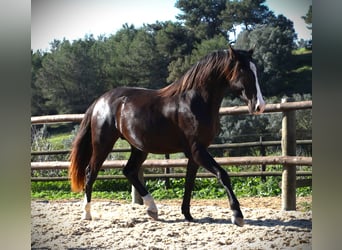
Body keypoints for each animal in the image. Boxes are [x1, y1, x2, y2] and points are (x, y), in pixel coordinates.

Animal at [69, 45, 266, 227]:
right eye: (244, 71)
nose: (260, 106)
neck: (195, 102)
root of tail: (100, 101)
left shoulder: (194, 153)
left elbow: (189, 182)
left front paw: (187, 214)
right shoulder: (197, 150)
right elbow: (223, 174)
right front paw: (237, 215)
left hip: (139, 148)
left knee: (129, 171)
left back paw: (152, 209)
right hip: (103, 144)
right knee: (90, 172)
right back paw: (86, 214)